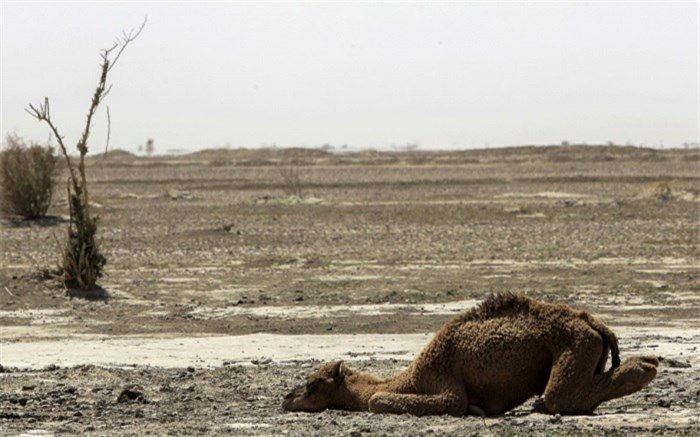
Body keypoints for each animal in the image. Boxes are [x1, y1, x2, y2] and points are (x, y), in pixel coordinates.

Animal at [282, 292, 660, 416]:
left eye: (313, 384)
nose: (286, 398)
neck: (409, 377)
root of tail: (596, 324)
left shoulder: (444, 383)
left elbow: (377, 401)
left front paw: (475, 410)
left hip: (573, 345)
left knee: (558, 397)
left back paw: (647, 365)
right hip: (586, 347)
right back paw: (649, 362)